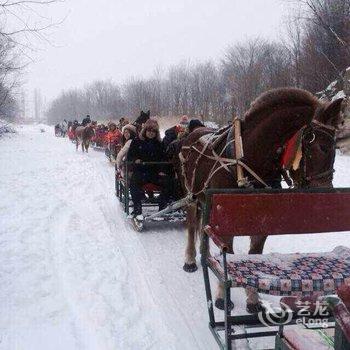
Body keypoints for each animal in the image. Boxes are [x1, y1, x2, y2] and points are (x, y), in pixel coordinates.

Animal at [174, 87, 344, 312]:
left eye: (335, 148)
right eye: (322, 147)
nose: (325, 194)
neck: (248, 160)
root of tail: (193, 132)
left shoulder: (261, 217)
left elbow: (254, 252)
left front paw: (253, 299)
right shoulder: (228, 216)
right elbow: (230, 253)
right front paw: (222, 296)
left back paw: (205, 255)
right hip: (191, 195)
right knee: (193, 225)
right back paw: (191, 259)